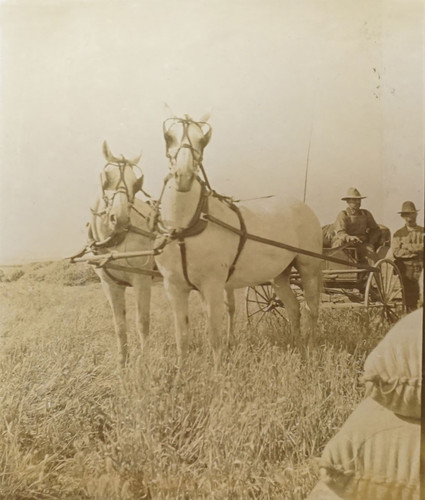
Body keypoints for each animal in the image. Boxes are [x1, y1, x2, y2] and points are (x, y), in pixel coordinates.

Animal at [88, 142, 157, 368]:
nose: (120, 218)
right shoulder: (110, 284)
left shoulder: (142, 279)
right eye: (106, 176)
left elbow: (142, 322)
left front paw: (146, 363)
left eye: (135, 183)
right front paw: (122, 362)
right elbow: (119, 324)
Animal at [153, 115, 322, 370]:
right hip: (279, 275)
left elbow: (215, 334)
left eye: (201, 141)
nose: (183, 176)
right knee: (294, 309)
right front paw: (180, 372)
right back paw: (299, 350)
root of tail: (304, 206)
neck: (183, 229)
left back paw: (310, 351)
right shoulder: (174, 287)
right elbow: (181, 336)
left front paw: (217, 372)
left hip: (308, 267)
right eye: (169, 137)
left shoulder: (212, 285)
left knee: (311, 309)